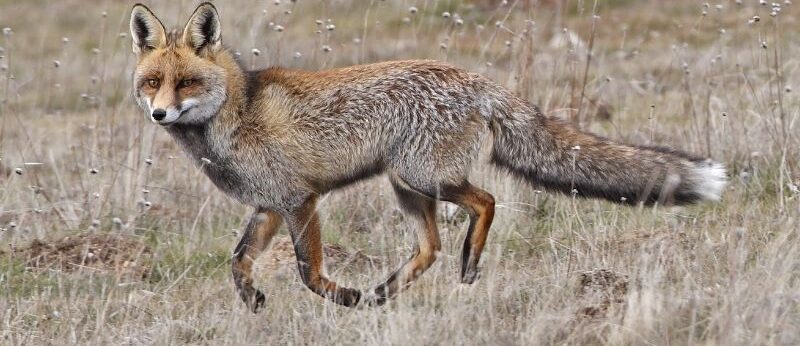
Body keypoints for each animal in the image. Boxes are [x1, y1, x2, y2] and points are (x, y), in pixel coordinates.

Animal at [130, 2, 724, 310]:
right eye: (153, 82)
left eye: (186, 83)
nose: (159, 114)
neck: (238, 112)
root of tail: (476, 80)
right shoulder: (270, 205)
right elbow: (237, 261)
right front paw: (254, 301)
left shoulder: (300, 199)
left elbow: (307, 270)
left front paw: (341, 297)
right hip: (407, 186)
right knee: (431, 246)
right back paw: (384, 292)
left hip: (422, 177)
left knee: (484, 203)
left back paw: (465, 265)